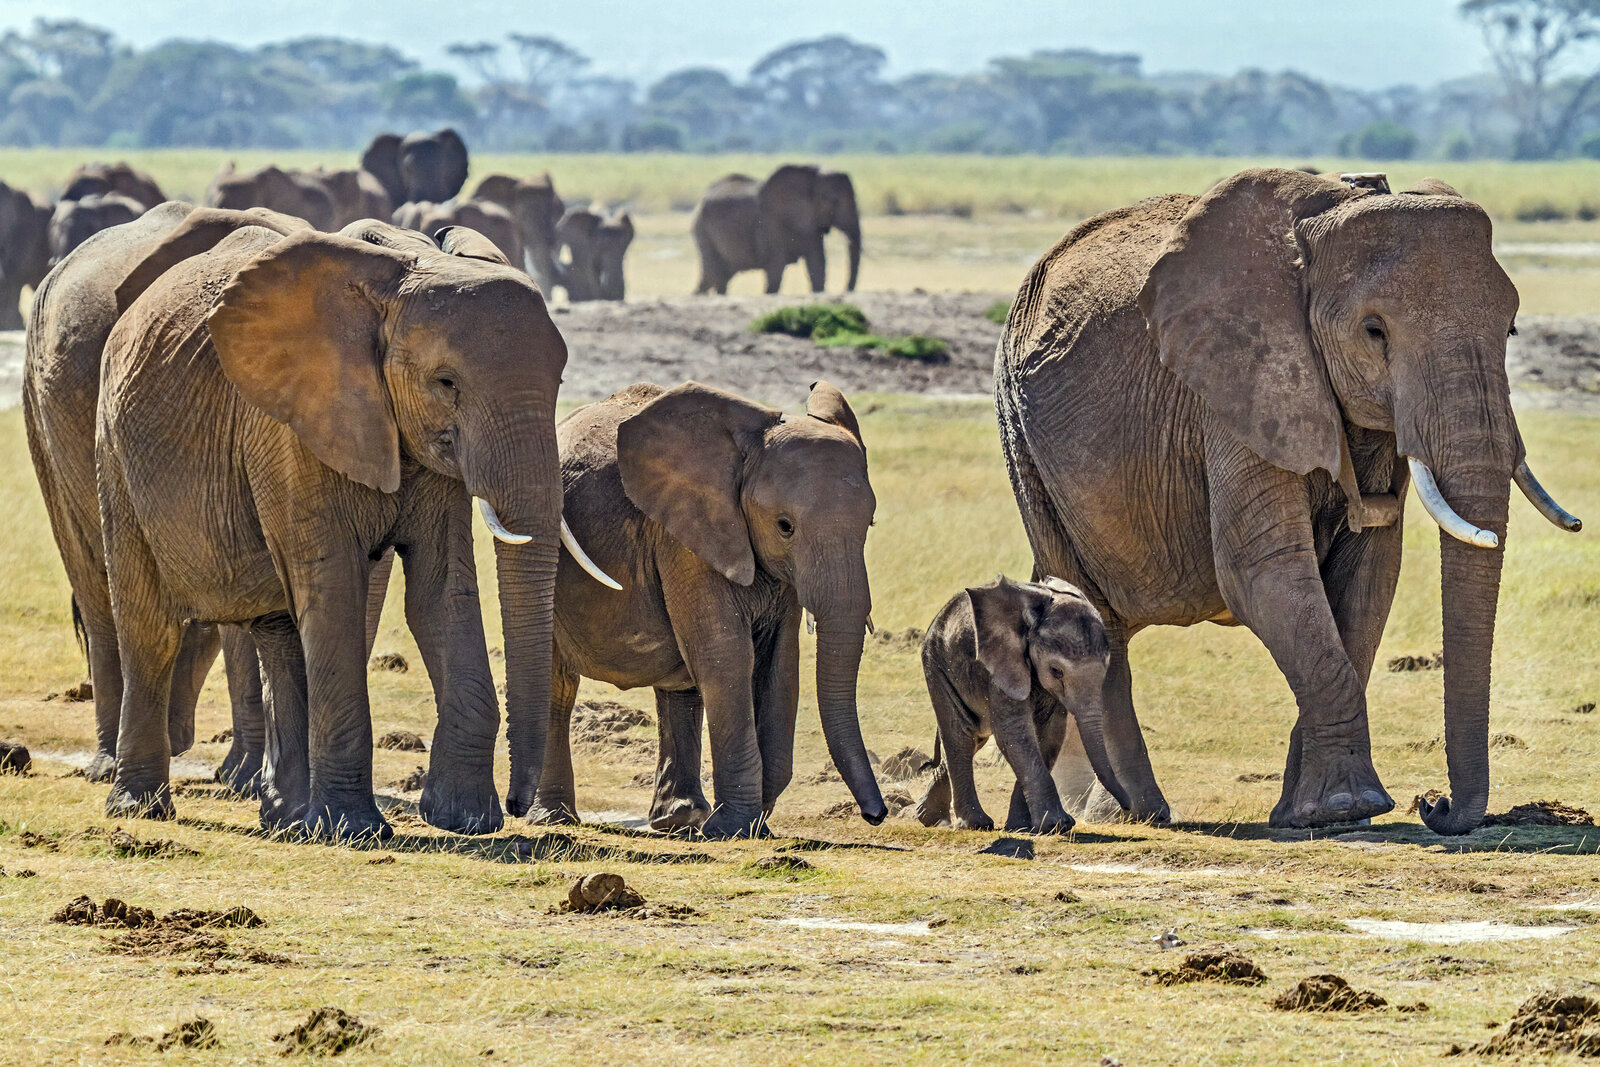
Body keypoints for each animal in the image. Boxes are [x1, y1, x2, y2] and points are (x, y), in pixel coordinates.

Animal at [92, 216, 612, 838]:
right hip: (115, 452)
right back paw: (141, 806)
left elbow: (441, 593)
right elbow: (336, 587)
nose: (518, 804)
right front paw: (353, 830)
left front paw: (465, 819)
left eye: (559, 382)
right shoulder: (291, 430)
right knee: (150, 625)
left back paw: (286, 819)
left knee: (280, 629)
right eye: (446, 383)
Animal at [534, 380, 887, 838]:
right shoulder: (685, 536)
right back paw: (554, 817)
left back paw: (679, 820)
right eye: (785, 526)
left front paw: (751, 823)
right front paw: (732, 828)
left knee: (679, 684)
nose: (875, 815)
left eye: (871, 523)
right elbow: (725, 657)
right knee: (559, 683)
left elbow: (779, 664)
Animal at [691, 164, 860, 295]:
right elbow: (776, 268)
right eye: (834, 201)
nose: (847, 290)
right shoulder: (770, 223)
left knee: (717, 277)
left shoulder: (811, 225)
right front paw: (769, 293)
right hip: (703, 230)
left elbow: (817, 265)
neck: (810, 176)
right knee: (714, 275)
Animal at [912, 576, 1131, 834]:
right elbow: (1014, 733)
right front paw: (1058, 825)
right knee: (961, 735)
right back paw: (975, 824)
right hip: (937, 664)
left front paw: (1022, 827)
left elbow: (1050, 735)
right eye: (1056, 671)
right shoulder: (1001, 665)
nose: (1127, 806)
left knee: (975, 738)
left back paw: (929, 818)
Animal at [994, 167, 1581, 835]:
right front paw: (1349, 808)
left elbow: (1368, 576)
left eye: (1511, 328)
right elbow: (1264, 572)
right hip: (1023, 438)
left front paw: (1312, 815)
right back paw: (1141, 814)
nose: (1435, 805)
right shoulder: (1238, 383)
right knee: (1094, 616)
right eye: (1374, 331)